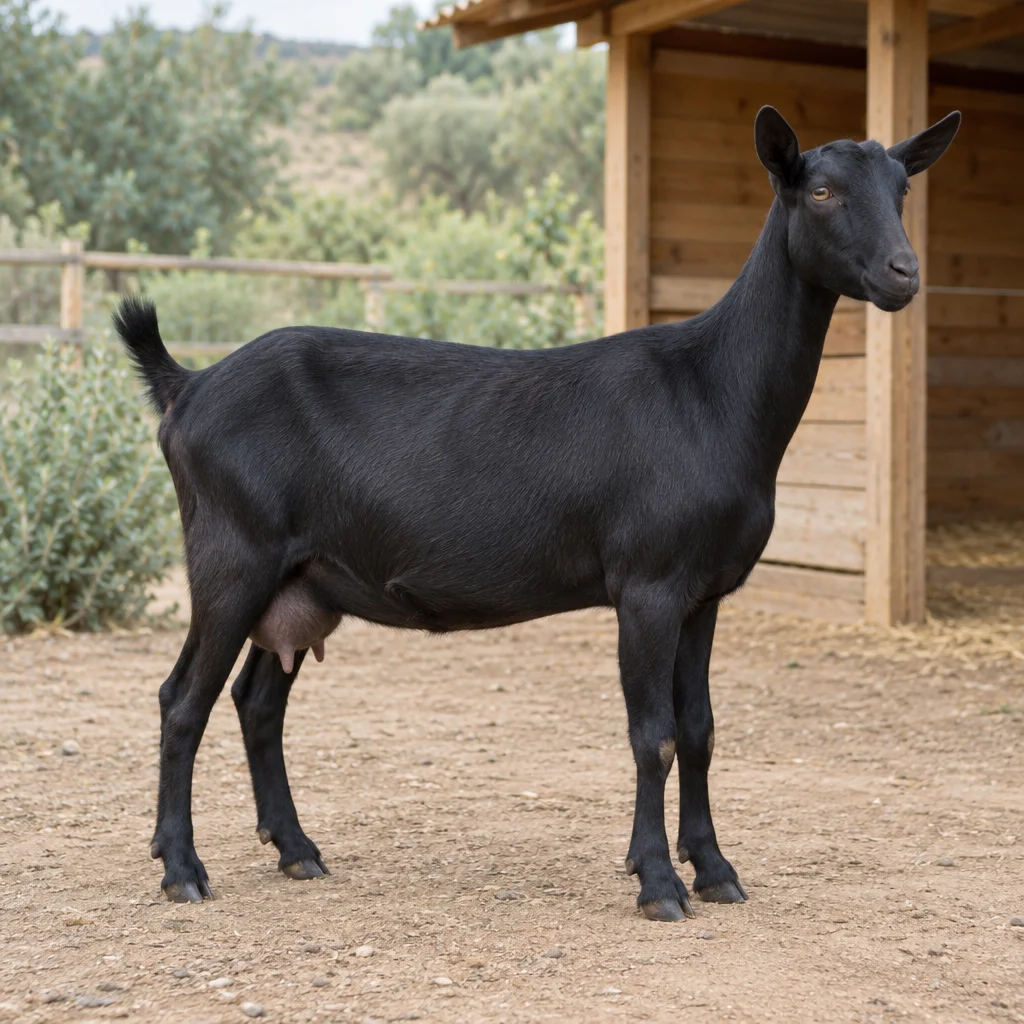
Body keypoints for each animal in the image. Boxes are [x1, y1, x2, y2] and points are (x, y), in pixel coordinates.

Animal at [115, 106, 960, 920]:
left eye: (902, 190)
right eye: (819, 191)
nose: (904, 273)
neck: (712, 391)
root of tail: (187, 385)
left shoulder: (704, 591)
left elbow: (699, 730)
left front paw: (716, 870)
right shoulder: (647, 584)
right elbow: (652, 736)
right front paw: (658, 882)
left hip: (303, 577)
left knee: (258, 702)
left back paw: (296, 850)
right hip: (232, 555)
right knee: (181, 701)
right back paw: (182, 870)